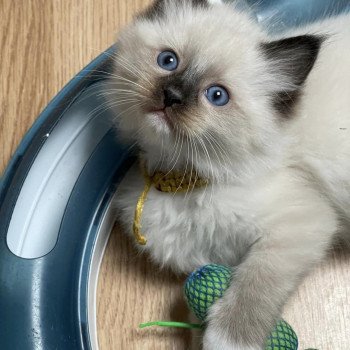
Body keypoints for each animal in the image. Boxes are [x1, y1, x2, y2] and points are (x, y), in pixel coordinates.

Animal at [109, 0, 350, 350]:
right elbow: (198, 311)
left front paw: (228, 338)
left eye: (217, 96)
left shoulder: (302, 224)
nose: (171, 96)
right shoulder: (212, 258)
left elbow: (256, 281)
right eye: (168, 61)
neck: (179, 179)